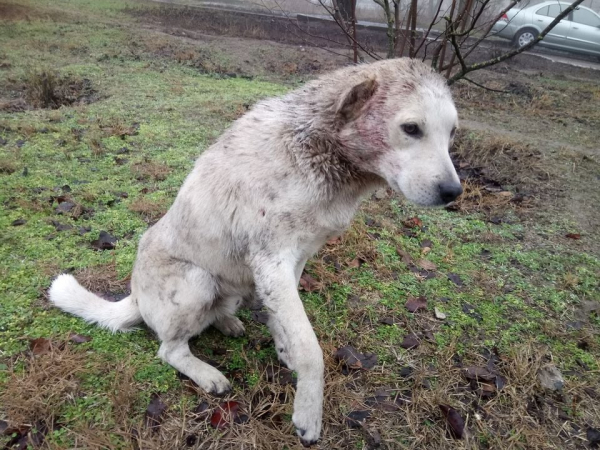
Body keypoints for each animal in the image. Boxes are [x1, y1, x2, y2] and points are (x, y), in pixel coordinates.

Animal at [49, 58, 462, 444]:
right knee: (170, 350)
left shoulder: (294, 260)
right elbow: (310, 348)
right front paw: (308, 414)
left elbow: (285, 319)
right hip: (196, 281)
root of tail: (134, 297)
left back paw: (227, 322)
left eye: (452, 133)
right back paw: (207, 374)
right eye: (412, 128)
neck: (318, 150)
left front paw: (283, 346)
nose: (454, 193)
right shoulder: (272, 260)